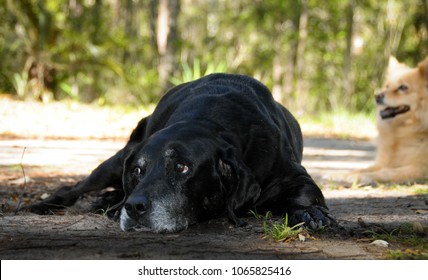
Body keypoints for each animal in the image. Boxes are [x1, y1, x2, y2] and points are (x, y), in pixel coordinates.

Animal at [27, 74, 334, 232]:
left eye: (181, 167)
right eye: (138, 170)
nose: (134, 208)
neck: (211, 120)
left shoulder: (294, 175)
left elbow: (305, 194)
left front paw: (310, 212)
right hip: (114, 162)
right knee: (74, 187)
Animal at [350, 56, 426, 184]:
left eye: (403, 87)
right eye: (387, 87)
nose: (377, 96)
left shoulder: (419, 168)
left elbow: (385, 172)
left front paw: (360, 177)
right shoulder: (383, 162)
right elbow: (362, 169)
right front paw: (338, 175)